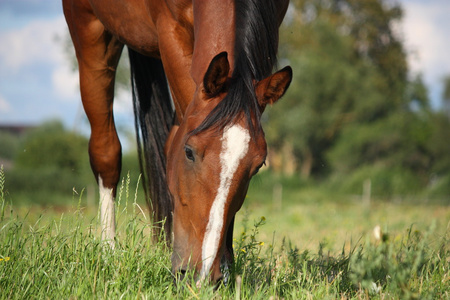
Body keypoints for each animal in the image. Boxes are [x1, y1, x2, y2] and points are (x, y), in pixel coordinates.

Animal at [63, 0, 294, 284]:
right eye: (189, 152)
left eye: (258, 165)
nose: (202, 274)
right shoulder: (169, 28)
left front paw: (226, 266)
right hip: (90, 29)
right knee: (106, 151)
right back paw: (109, 251)